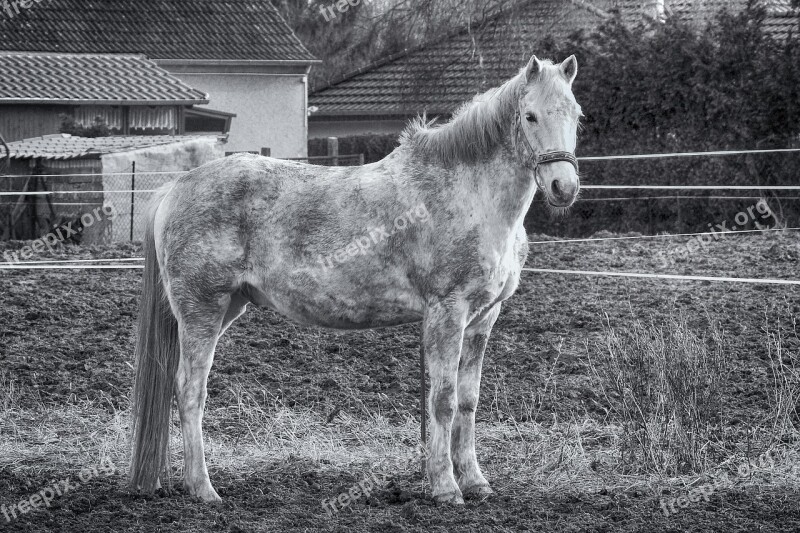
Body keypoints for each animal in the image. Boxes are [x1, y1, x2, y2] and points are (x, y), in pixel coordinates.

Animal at [130, 54, 580, 502]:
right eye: (530, 116)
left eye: (577, 115)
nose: (564, 187)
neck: (466, 194)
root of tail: (176, 186)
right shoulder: (447, 313)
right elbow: (443, 401)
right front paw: (445, 487)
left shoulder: (483, 317)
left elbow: (468, 402)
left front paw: (476, 481)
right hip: (202, 310)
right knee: (190, 390)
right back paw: (203, 488)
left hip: (228, 306)